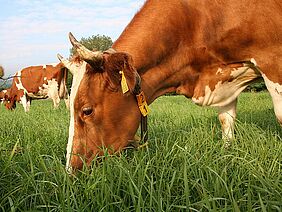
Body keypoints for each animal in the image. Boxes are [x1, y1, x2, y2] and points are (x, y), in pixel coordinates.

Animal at [60, 0, 282, 171]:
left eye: (87, 110)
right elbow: (226, 121)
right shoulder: (223, 81)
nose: (71, 171)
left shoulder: (272, 60)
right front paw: (228, 154)